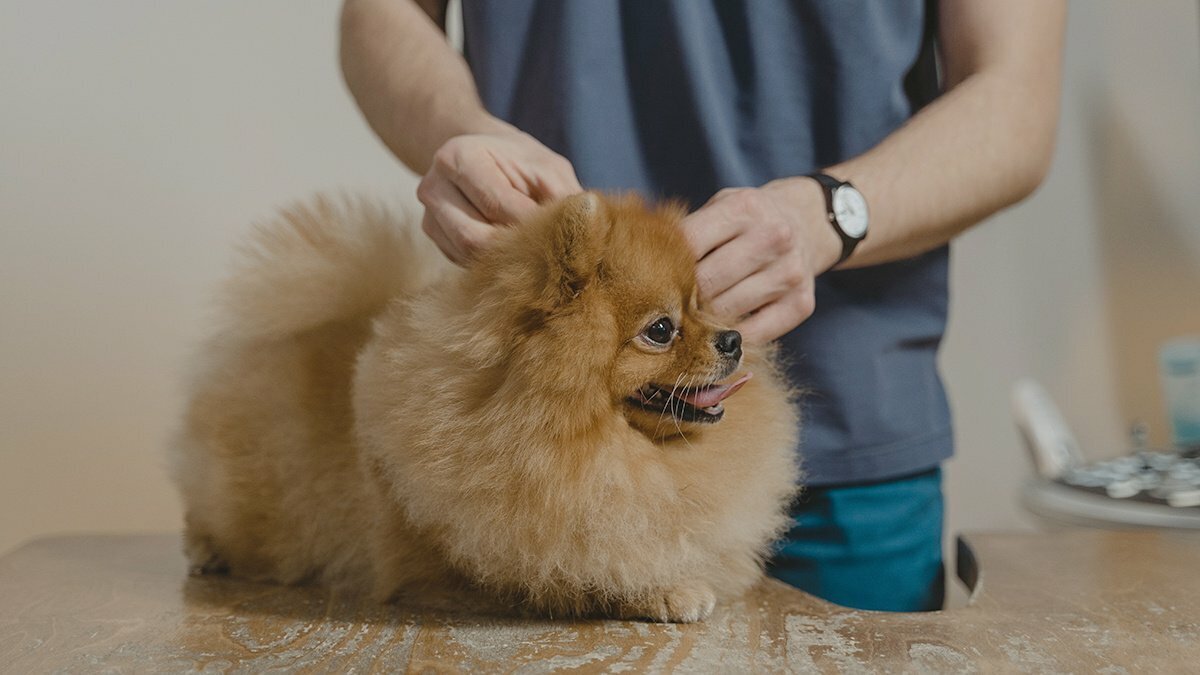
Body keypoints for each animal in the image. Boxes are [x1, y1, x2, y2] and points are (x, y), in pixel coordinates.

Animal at [171, 190, 796, 619]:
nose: (733, 338)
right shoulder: (487, 560)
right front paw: (665, 590)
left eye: (702, 305)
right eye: (662, 329)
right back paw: (206, 550)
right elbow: (575, 573)